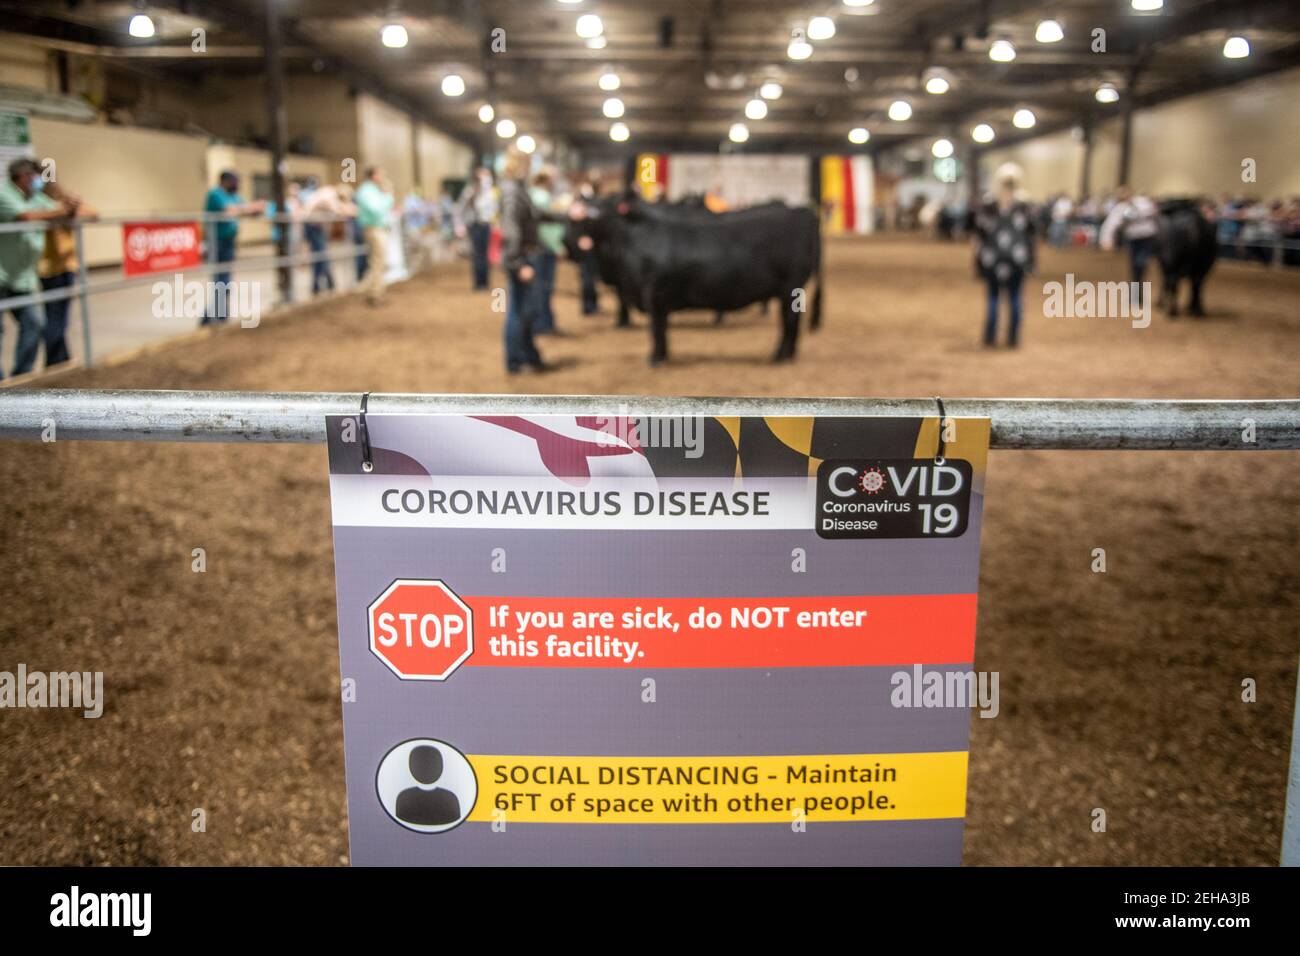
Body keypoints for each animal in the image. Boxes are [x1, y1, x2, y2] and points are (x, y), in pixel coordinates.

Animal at [572, 196, 816, 364]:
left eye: (598, 212)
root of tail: (801, 211)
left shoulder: (653, 293)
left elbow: (656, 329)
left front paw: (655, 358)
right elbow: (662, 327)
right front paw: (662, 355)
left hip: (791, 289)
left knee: (789, 322)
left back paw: (779, 356)